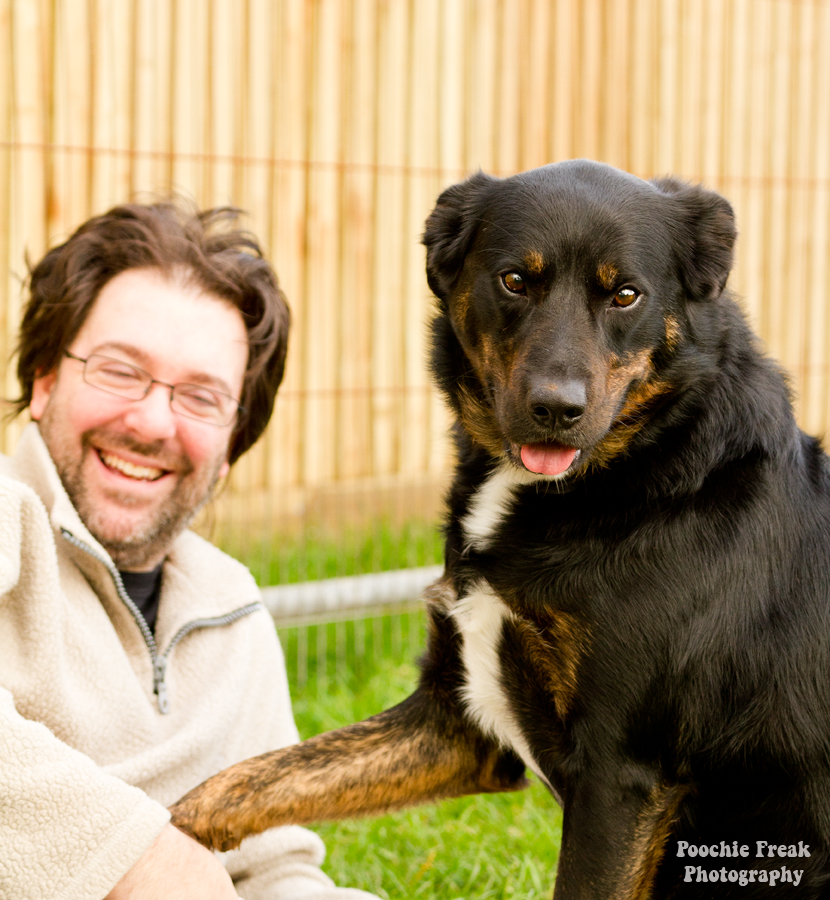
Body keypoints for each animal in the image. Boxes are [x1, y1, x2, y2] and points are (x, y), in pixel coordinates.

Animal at [169, 162, 830, 900]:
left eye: (626, 295)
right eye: (515, 280)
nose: (556, 409)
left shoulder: (621, 772)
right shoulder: (458, 723)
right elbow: (240, 783)